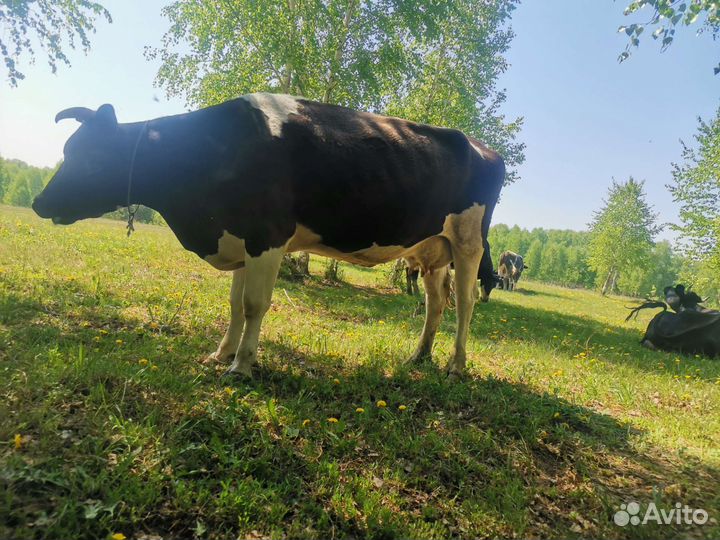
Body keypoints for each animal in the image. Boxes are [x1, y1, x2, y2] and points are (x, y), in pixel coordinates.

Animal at [32, 93, 505, 378]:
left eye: (89, 155)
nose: (39, 202)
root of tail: (483, 147)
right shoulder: (240, 239)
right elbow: (234, 305)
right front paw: (221, 353)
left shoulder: (267, 236)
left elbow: (254, 304)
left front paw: (241, 366)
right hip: (432, 248)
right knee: (437, 301)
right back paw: (418, 356)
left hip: (469, 242)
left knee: (465, 303)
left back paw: (455, 366)